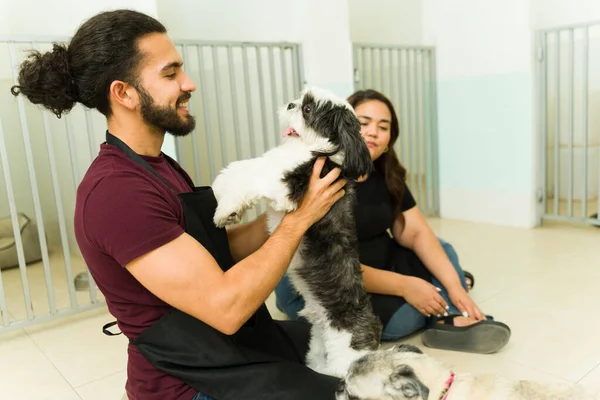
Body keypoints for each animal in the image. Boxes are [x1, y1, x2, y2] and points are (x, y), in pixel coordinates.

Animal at [211, 86, 380, 376]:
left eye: (308, 109)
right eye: (300, 99)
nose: (291, 104)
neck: (308, 148)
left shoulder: (286, 185)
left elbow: (251, 178)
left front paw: (227, 209)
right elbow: (245, 167)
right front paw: (221, 188)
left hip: (344, 358)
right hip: (317, 349)